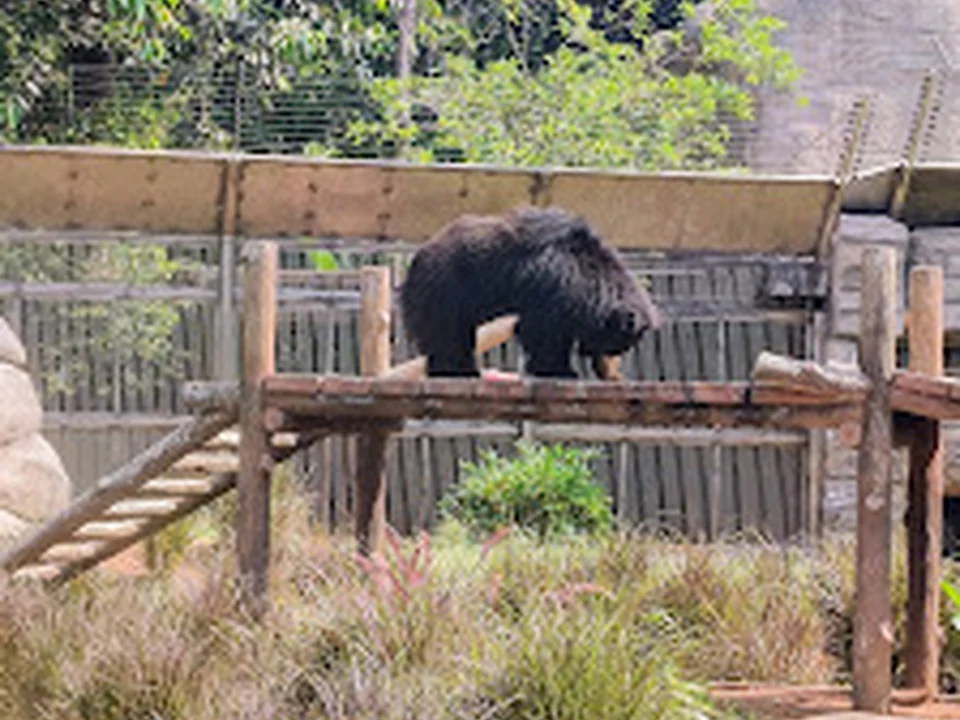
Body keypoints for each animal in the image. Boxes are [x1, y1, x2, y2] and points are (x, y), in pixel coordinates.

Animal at [399, 205, 661, 379]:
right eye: (618, 344)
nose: (607, 372)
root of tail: (418, 257)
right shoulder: (552, 284)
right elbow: (542, 331)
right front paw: (561, 371)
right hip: (446, 290)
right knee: (447, 333)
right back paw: (458, 371)